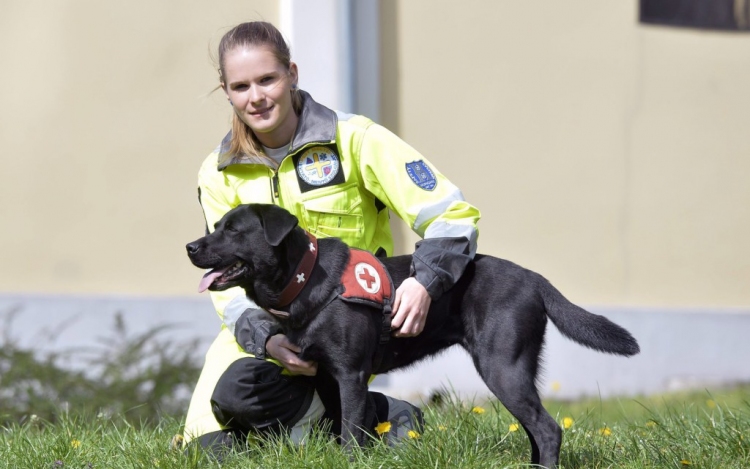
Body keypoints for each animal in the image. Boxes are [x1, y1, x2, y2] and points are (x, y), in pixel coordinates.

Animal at [188, 203, 640, 466]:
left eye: (233, 230)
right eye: (215, 226)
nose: (191, 246)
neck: (305, 278)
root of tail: (535, 279)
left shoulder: (350, 374)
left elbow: (351, 431)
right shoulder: (326, 377)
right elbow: (345, 426)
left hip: (502, 366)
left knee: (548, 429)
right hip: (512, 372)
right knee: (536, 428)